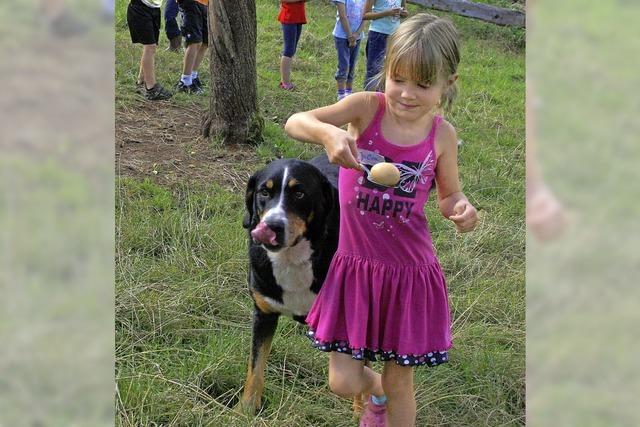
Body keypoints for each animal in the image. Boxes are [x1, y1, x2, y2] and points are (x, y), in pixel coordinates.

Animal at [239, 155, 340, 412]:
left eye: (300, 193)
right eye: (264, 192)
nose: (273, 226)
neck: (291, 259)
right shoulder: (263, 315)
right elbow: (255, 368)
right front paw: (246, 410)